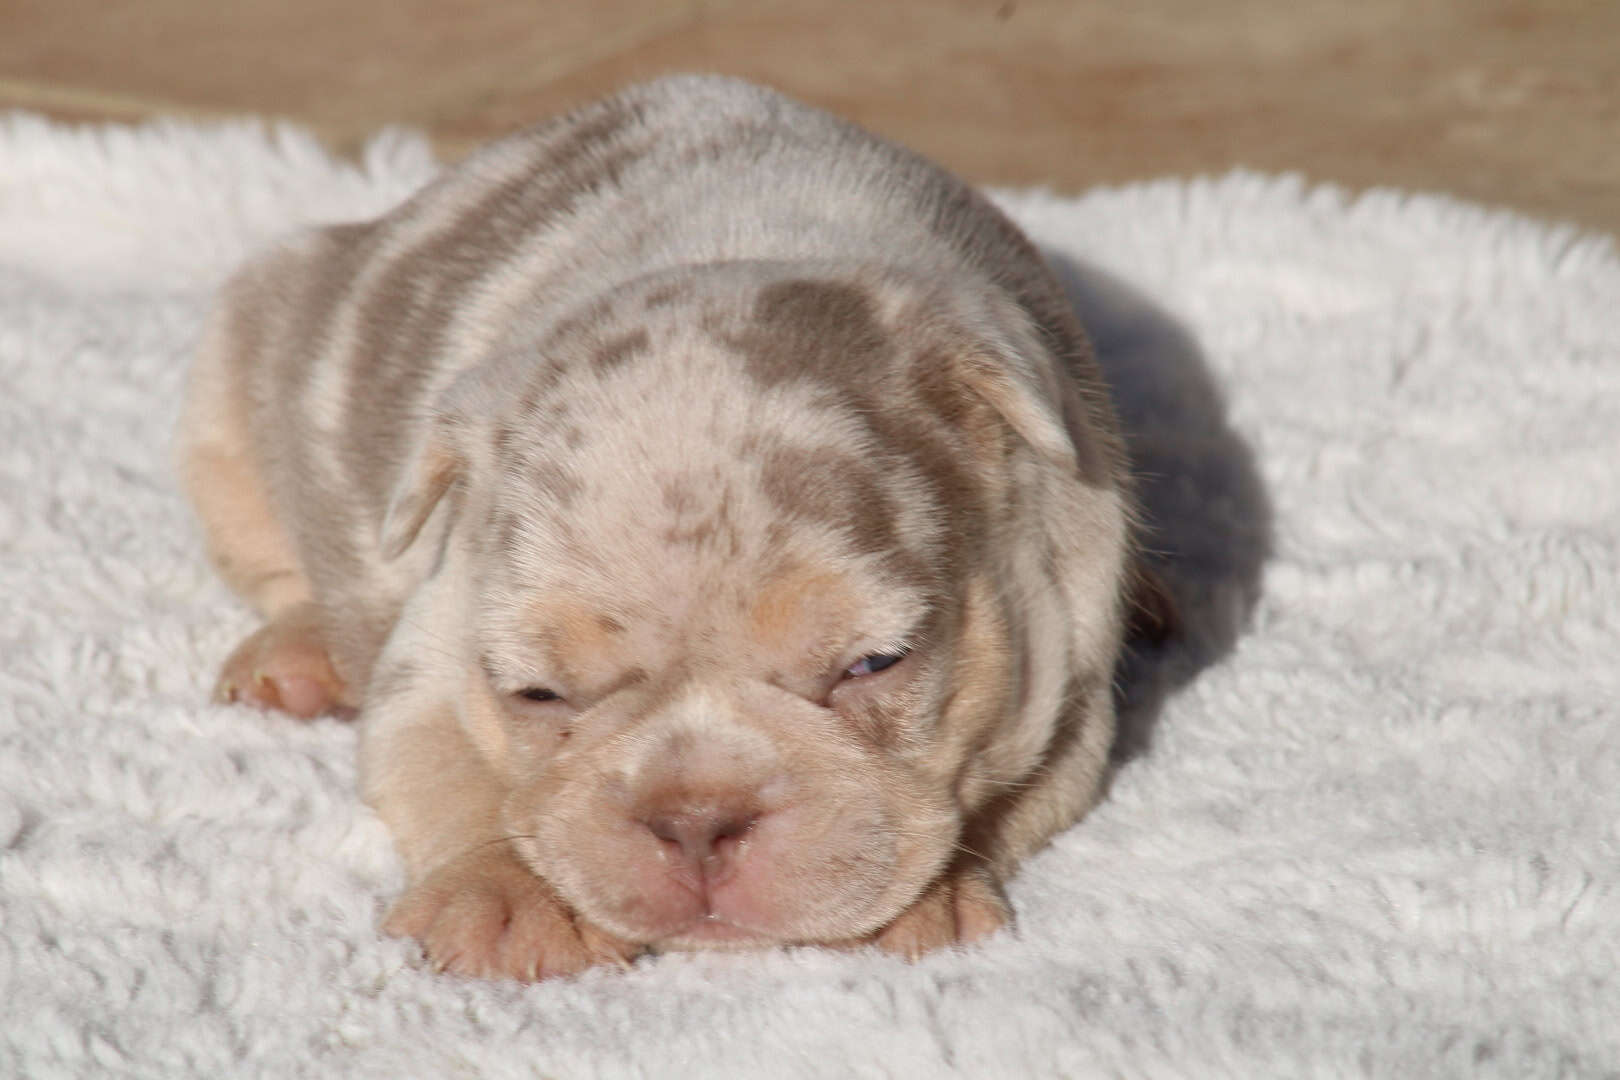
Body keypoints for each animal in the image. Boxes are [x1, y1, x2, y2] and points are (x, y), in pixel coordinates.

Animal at [180, 76, 1140, 977]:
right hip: (236, 383)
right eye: (537, 694)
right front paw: (503, 895)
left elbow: (1015, 795)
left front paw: (924, 899)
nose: (696, 818)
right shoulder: (432, 654)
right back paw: (298, 653)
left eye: (875, 663)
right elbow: (451, 772)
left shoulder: (1070, 679)